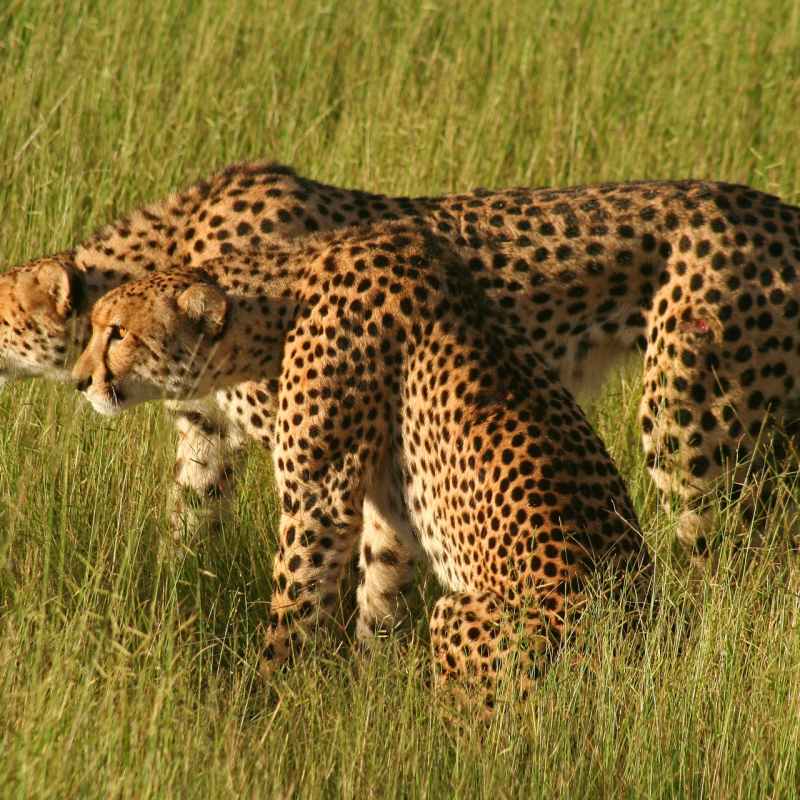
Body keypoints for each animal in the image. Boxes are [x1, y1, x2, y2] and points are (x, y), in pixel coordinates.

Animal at [2, 159, 799, 616]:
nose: (84, 383)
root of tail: (780, 210)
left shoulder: (324, 447)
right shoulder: (209, 438)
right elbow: (189, 529)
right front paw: (172, 608)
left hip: (692, 429)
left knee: (740, 568)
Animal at [71, 223, 654, 709]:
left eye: (117, 331)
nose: (79, 381)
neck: (283, 298)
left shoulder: (318, 500)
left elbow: (295, 604)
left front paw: (267, 696)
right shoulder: (389, 508)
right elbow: (381, 592)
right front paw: (370, 687)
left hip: (468, 616)